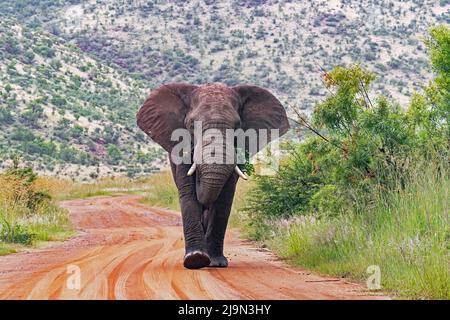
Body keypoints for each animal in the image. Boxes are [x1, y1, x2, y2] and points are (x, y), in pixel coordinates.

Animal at [137, 82, 290, 268]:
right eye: (192, 125)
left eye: (237, 126)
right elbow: (188, 193)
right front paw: (195, 259)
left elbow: (224, 198)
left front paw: (216, 263)